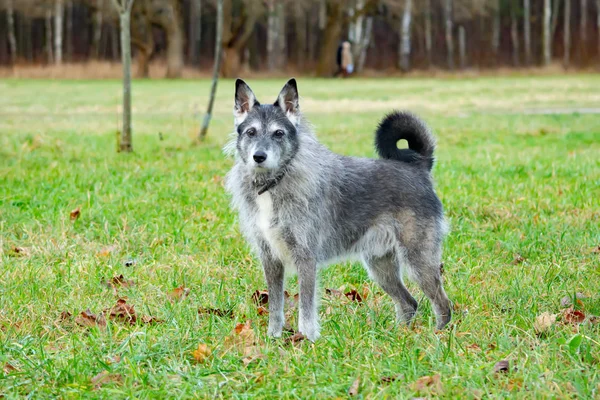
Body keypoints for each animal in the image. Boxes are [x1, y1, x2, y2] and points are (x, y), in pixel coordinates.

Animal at [225, 78, 450, 340]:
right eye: (251, 132)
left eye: (278, 133)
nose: (258, 156)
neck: (276, 181)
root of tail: (419, 168)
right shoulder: (270, 259)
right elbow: (275, 307)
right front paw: (274, 338)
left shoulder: (306, 258)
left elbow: (306, 307)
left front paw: (307, 340)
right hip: (381, 266)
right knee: (409, 303)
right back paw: (397, 335)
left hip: (418, 260)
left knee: (443, 304)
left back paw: (440, 335)